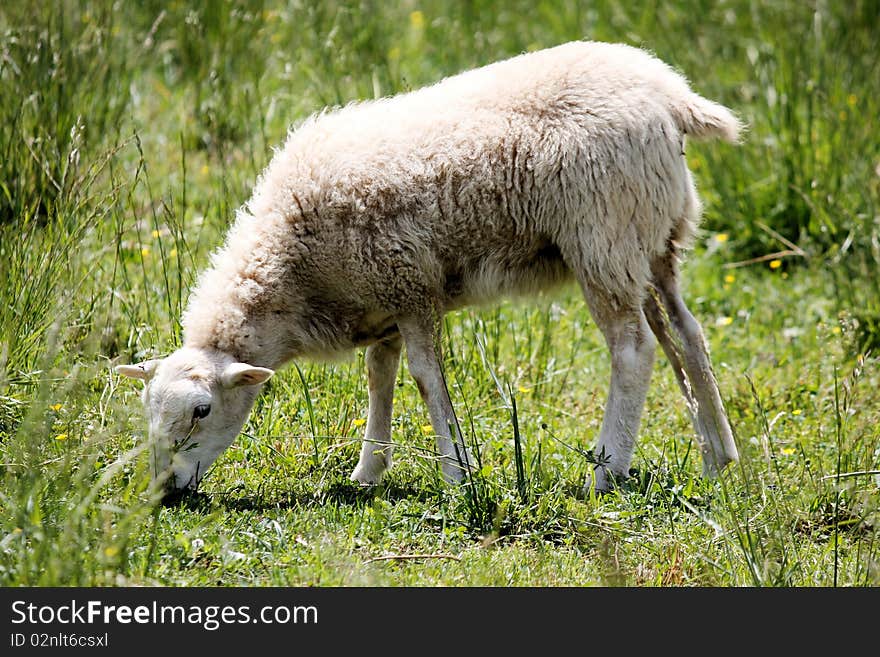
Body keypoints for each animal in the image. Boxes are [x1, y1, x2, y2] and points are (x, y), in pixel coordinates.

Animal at [117, 41, 744, 500]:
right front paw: (368, 472)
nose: (165, 491)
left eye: (201, 411)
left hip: (603, 238)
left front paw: (457, 475)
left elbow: (423, 377)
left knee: (633, 350)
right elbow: (380, 378)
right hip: (654, 240)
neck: (290, 268)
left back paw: (607, 471)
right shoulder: (381, 303)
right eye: (147, 411)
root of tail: (670, 95)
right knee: (687, 334)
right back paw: (719, 458)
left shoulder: (410, 285)